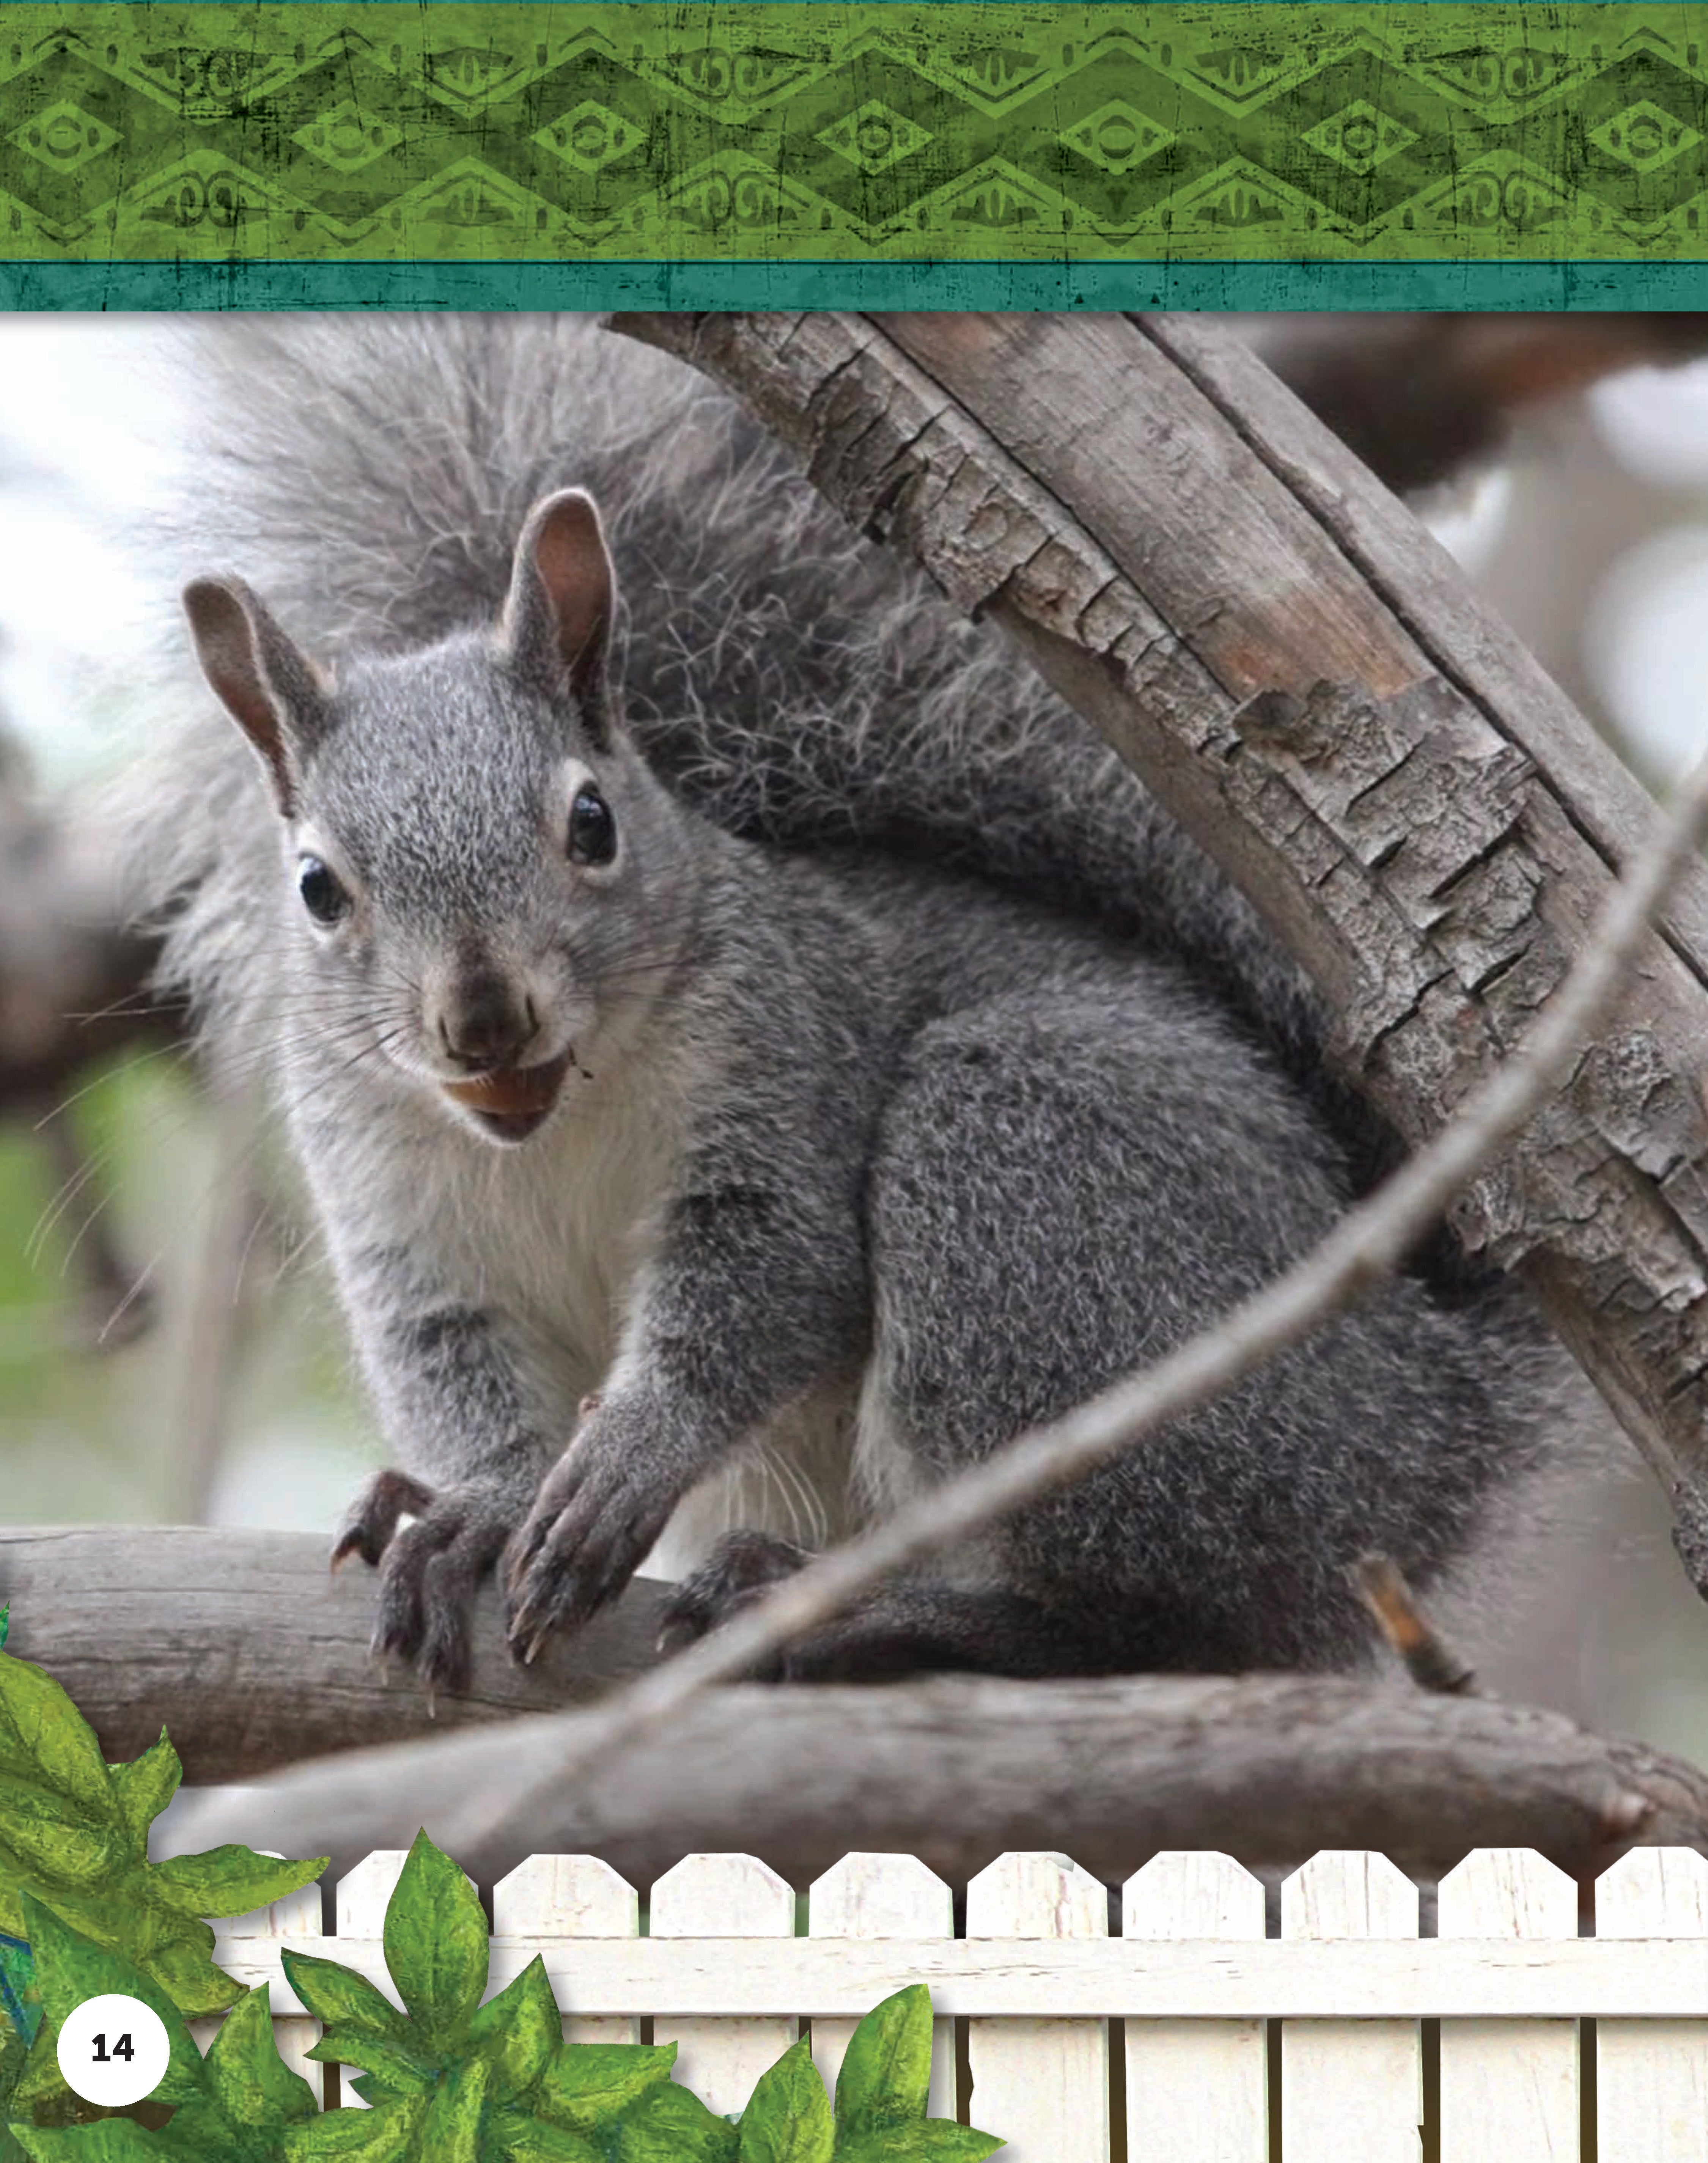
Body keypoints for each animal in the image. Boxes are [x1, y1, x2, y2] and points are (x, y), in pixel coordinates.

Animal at [124, 313, 1600, 1694]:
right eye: (317, 887)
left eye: (592, 822)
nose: (483, 1020)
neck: (556, 1124)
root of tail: (1429, 1433)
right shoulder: (403, 1222)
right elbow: (451, 1370)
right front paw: (470, 1511)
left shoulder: (786, 1061)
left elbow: (767, 1280)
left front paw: (623, 1461)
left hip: (1043, 1190)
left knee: (1156, 1618)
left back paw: (893, 1613)